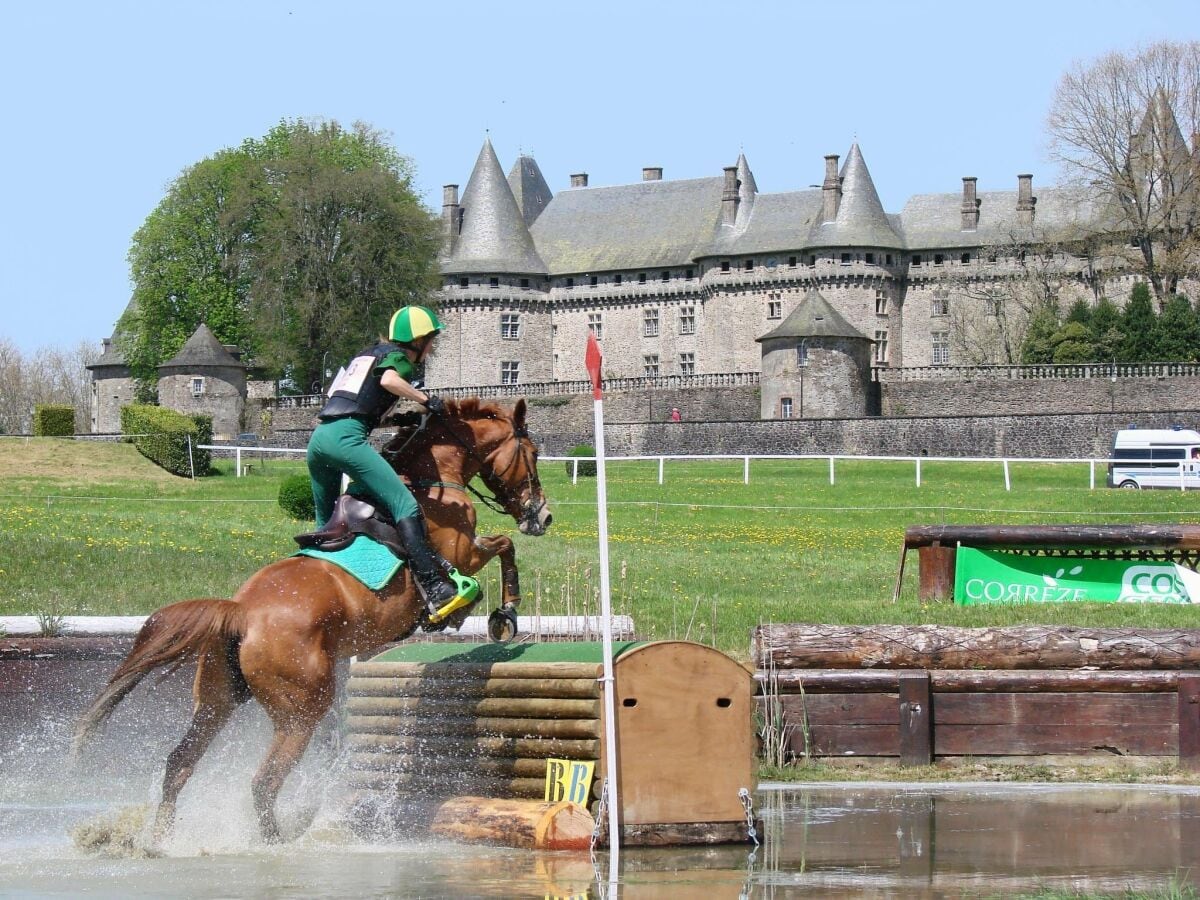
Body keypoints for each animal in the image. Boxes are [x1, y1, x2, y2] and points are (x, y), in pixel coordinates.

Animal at [77, 398, 554, 844]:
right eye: (532, 451)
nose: (543, 516)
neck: (432, 480)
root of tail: (242, 612)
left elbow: (503, 545)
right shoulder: (463, 553)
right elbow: (503, 546)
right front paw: (503, 613)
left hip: (217, 699)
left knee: (180, 763)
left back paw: (158, 842)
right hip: (301, 711)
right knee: (264, 782)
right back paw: (277, 843)